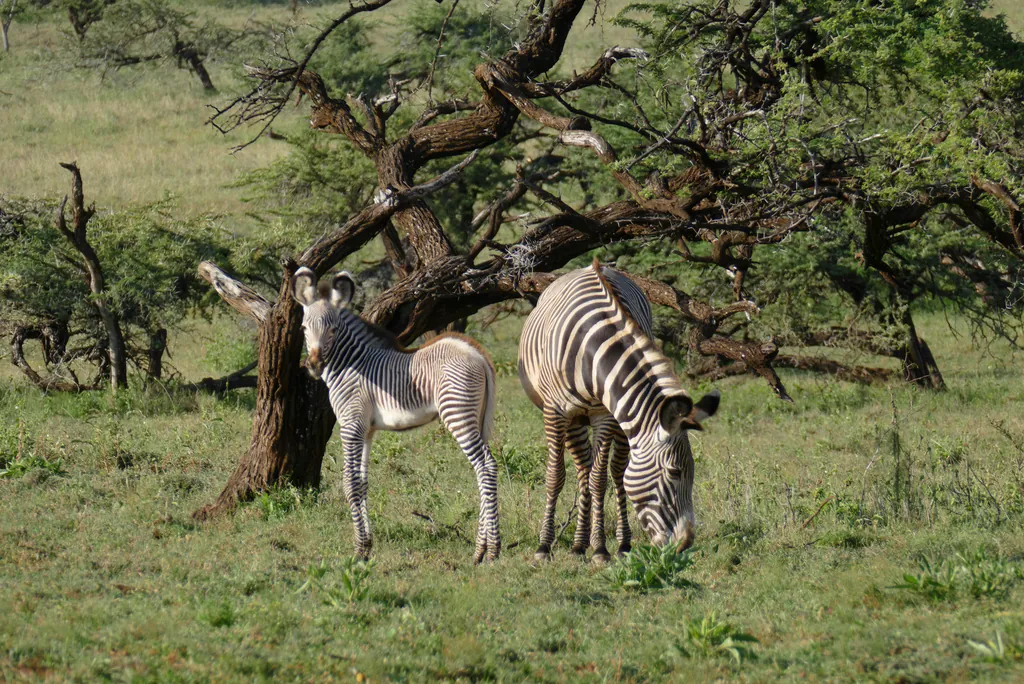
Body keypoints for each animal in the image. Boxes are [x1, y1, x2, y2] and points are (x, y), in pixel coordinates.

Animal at [292, 267, 501, 563]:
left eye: (333, 329)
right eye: (304, 328)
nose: (314, 365)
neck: (350, 363)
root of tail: (477, 354)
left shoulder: (351, 425)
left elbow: (350, 483)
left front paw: (359, 551)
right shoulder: (366, 429)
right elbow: (362, 483)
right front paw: (368, 545)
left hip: (457, 413)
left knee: (486, 467)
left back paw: (492, 551)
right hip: (478, 417)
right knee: (482, 470)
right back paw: (480, 550)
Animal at [518, 259, 719, 562]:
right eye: (674, 472)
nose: (684, 544)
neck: (595, 352)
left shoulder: (605, 414)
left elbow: (601, 479)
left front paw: (600, 548)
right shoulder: (555, 412)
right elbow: (555, 475)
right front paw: (544, 546)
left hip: (622, 418)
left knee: (612, 472)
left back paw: (616, 543)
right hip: (575, 418)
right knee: (582, 469)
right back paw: (578, 544)